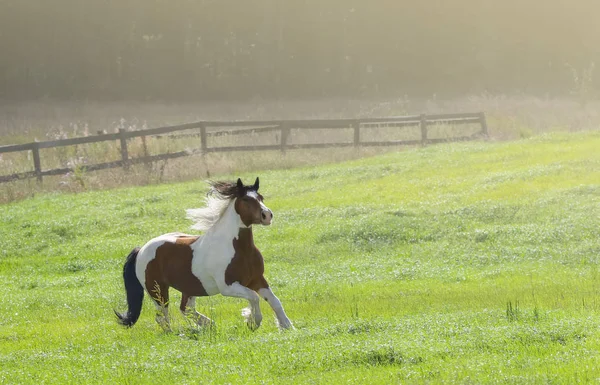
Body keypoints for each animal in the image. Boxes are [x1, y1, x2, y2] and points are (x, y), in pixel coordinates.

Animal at [114, 177, 292, 330]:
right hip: (157, 291)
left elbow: (275, 301)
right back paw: (177, 334)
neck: (239, 249)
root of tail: (141, 250)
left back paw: (208, 326)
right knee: (162, 316)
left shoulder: (257, 279)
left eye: (261, 197)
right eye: (246, 200)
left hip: (188, 288)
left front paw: (287, 327)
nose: (267, 215)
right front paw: (253, 322)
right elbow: (253, 297)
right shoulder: (228, 286)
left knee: (185, 309)